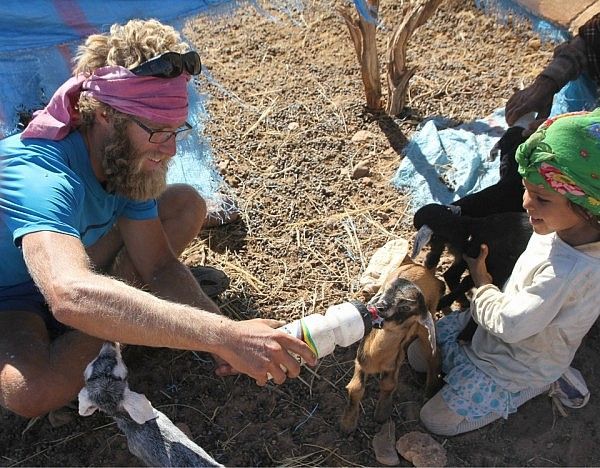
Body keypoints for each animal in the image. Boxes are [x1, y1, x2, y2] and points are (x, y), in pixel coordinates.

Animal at [340, 258, 442, 434]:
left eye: (406, 306)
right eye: (384, 293)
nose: (379, 307)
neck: (377, 358)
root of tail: (421, 267)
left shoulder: (395, 361)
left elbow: (388, 385)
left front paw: (382, 414)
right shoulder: (361, 360)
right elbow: (356, 388)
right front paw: (348, 424)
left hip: (425, 329)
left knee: (433, 357)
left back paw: (430, 390)